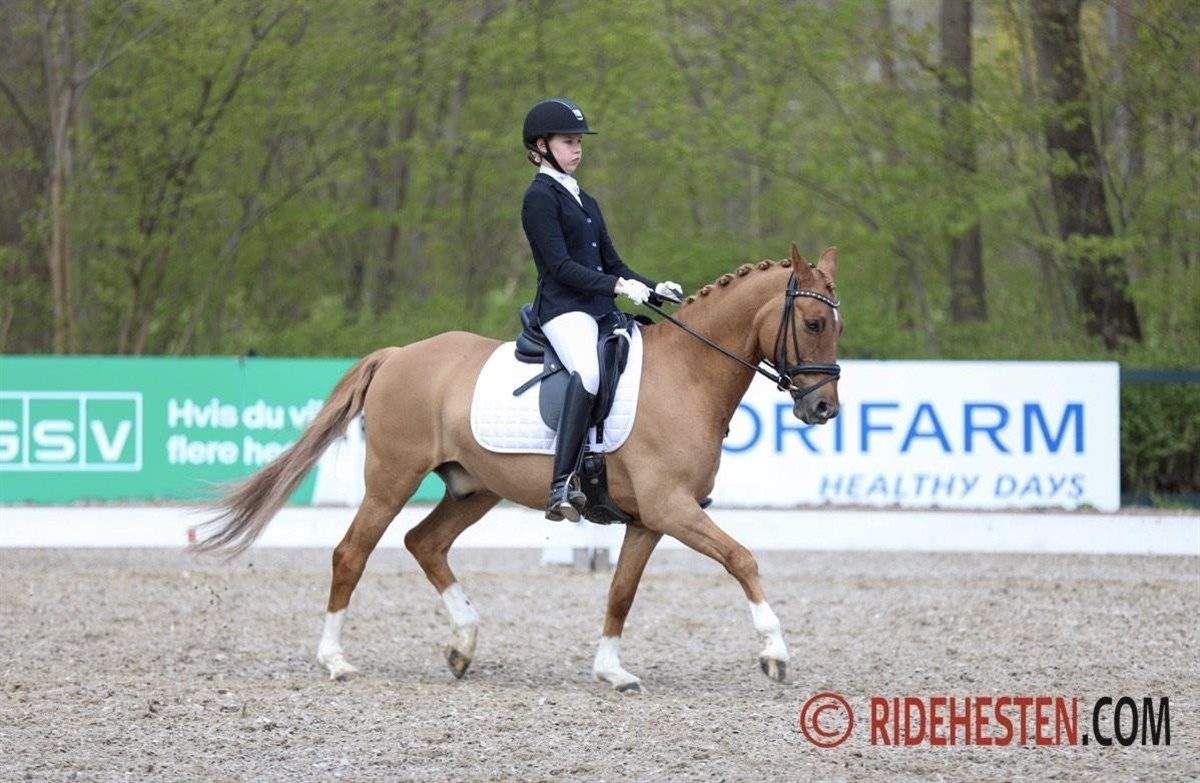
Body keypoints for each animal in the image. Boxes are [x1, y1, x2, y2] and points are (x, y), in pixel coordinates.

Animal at [192, 244, 842, 692]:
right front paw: (775, 653)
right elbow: (742, 558)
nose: (823, 410)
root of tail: (399, 355)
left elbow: (621, 591)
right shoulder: (671, 508)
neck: (688, 375)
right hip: (392, 479)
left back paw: (463, 643)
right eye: (813, 324)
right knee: (352, 553)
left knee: (424, 542)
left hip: (473, 488)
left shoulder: (648, 520)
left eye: (838, 325)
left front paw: (611, 670)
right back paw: (335, 660)